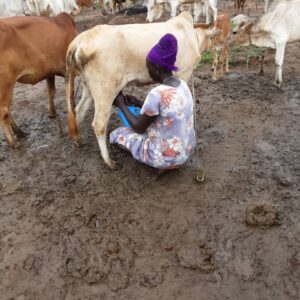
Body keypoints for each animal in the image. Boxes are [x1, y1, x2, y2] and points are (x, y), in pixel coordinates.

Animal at [0, 13, 77, 147]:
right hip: (6, 83)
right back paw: (13, 142)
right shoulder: (68, 70)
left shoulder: (49, 71)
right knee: (3, 111)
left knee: (8, 110)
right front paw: (73, 108)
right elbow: (70, 93)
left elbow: (51, 91)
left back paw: (19, 132)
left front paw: (52, 113)